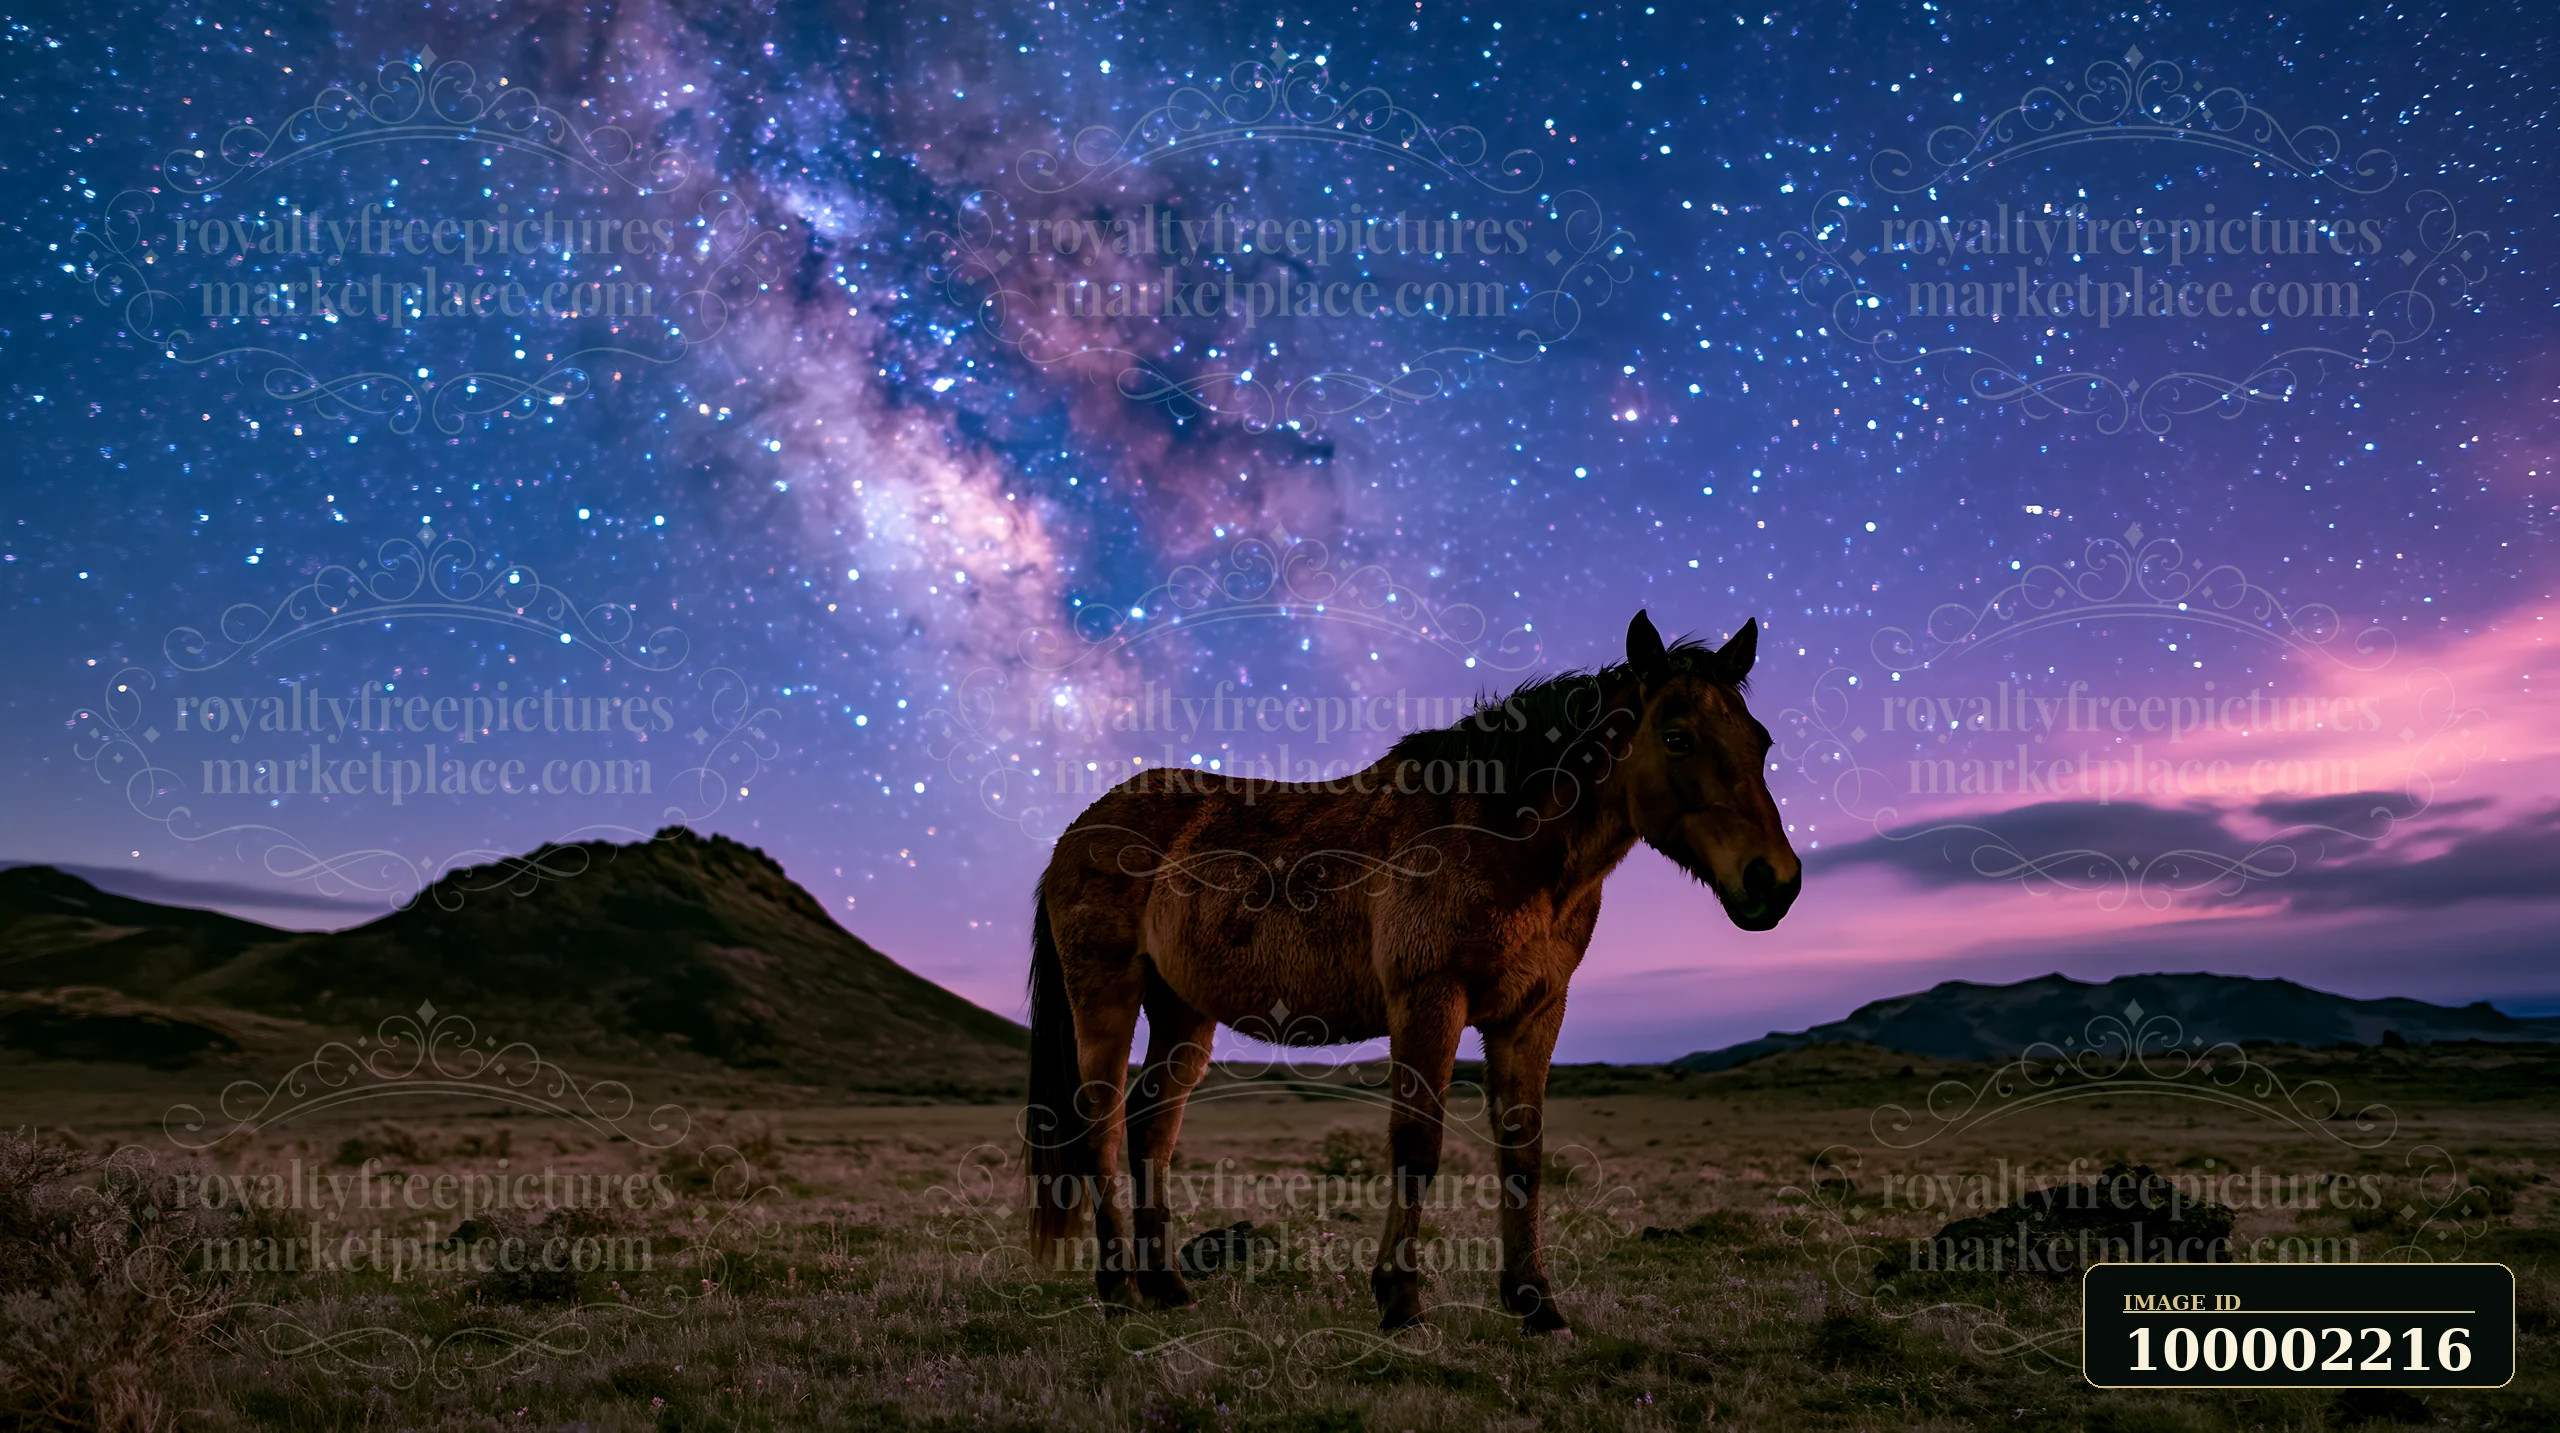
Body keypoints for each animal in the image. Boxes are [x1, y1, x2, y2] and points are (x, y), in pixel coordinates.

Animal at [1023, 610, 1802, 1333]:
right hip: (1108, 994)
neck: (1502, 840)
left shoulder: (1533, 1012)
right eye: (1676, 737)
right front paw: (1400, 1300)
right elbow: (1418, 1148)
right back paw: (1118, 1289)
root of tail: (1076, 831)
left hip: (1183, 1010)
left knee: (1151, 1125)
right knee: (1099, 1125)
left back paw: (1167, 1287)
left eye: (1761, 742)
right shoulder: (1430, 1001)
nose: (1776, 882)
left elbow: (1524, 1153)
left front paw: (1537, 1304)